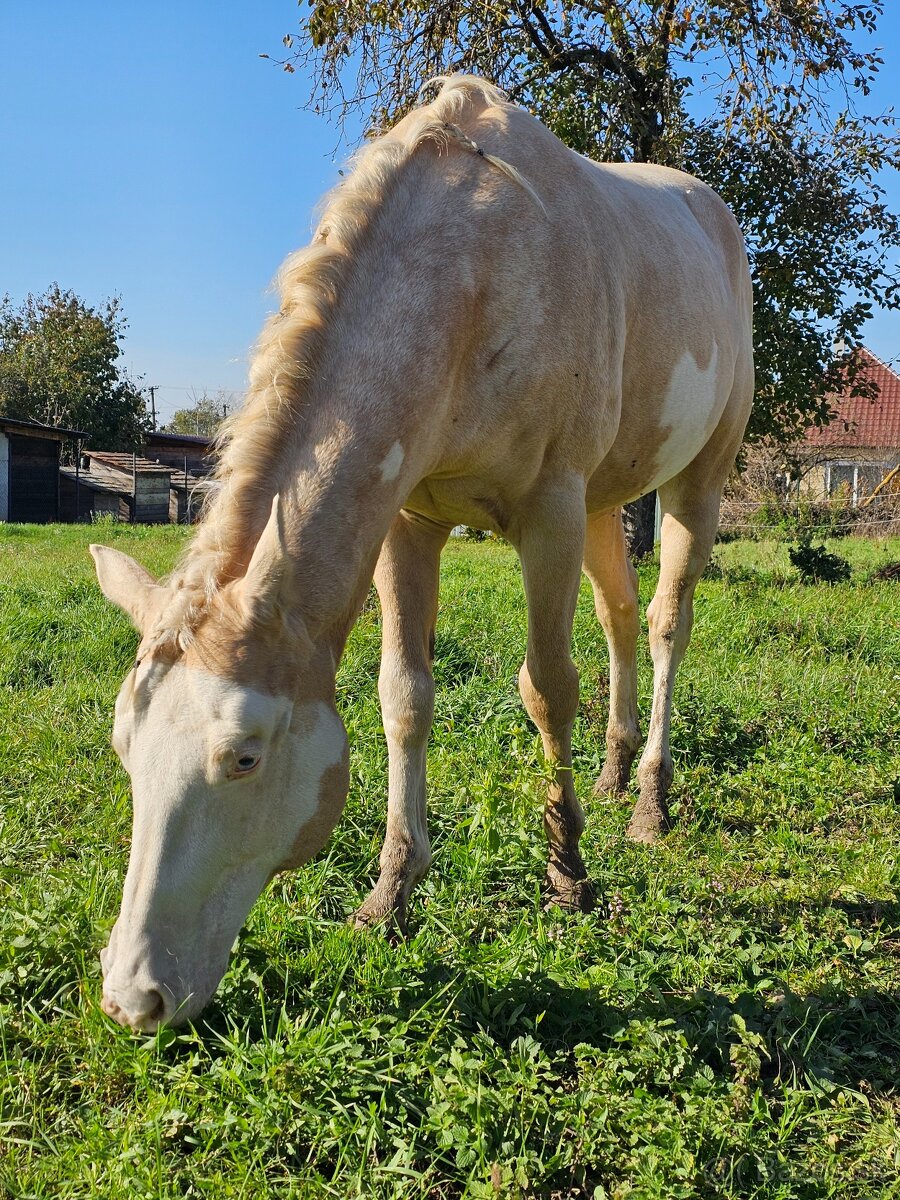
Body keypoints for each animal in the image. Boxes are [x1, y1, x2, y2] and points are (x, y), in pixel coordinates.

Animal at [90, 76, 753, 1031]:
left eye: (245, 756)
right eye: (124, 744)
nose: (133, 995)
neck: (472, 269)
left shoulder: (550, 510)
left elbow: (547, 688)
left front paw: (569, 876)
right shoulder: (409, 520)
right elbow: (403, 695)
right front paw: (392, 894)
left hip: (696, 478)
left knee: (667, 624)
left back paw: (651, 802)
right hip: (605, 502)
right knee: (621, 616)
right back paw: (615, 770)